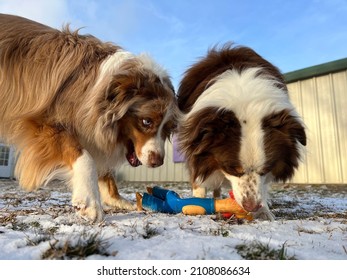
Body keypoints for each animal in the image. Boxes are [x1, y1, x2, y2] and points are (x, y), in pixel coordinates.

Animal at [0, 14, 178, 221]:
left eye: (167, 129)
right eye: (146, 121)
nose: (157, 162)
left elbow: (105, 171)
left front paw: (118, 200)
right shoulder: (44, 122)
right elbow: (85, 157)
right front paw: (90, 203)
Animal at [178, 43, 306, 220]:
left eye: (265, 169)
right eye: (232, 169)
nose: (251, 206)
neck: (246, 100)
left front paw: (264, 212)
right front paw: (197, 203)